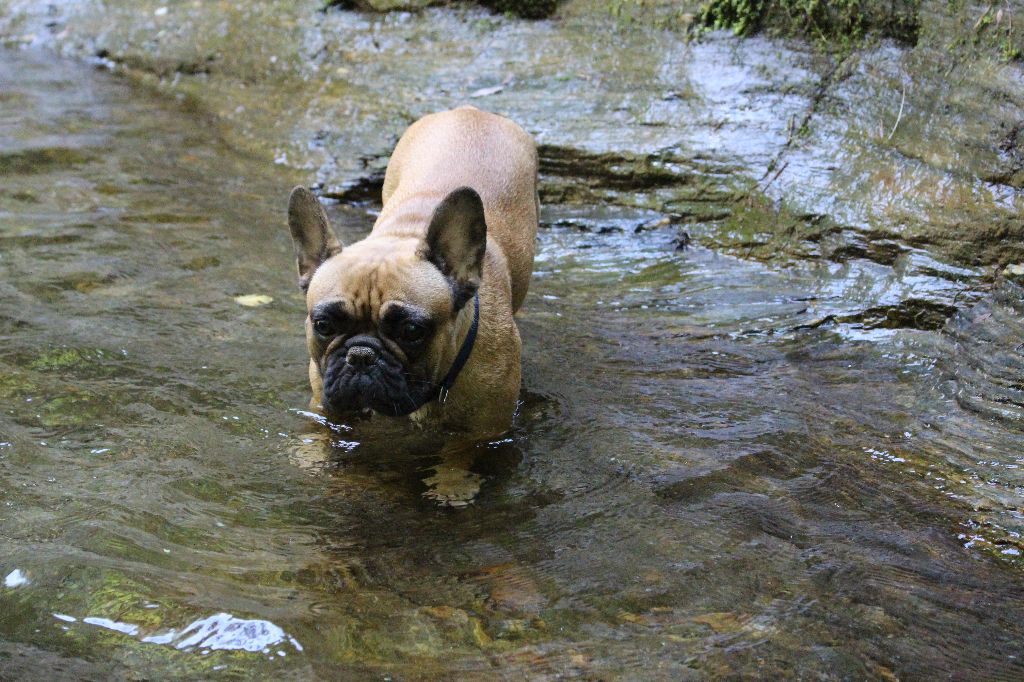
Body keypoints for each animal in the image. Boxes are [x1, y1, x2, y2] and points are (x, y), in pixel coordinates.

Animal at [284, 106, 540, 436]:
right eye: (323, 325)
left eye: (412, 331)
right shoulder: (328, 412)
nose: (361, 355)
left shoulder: (482, 434)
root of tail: (473, 111)